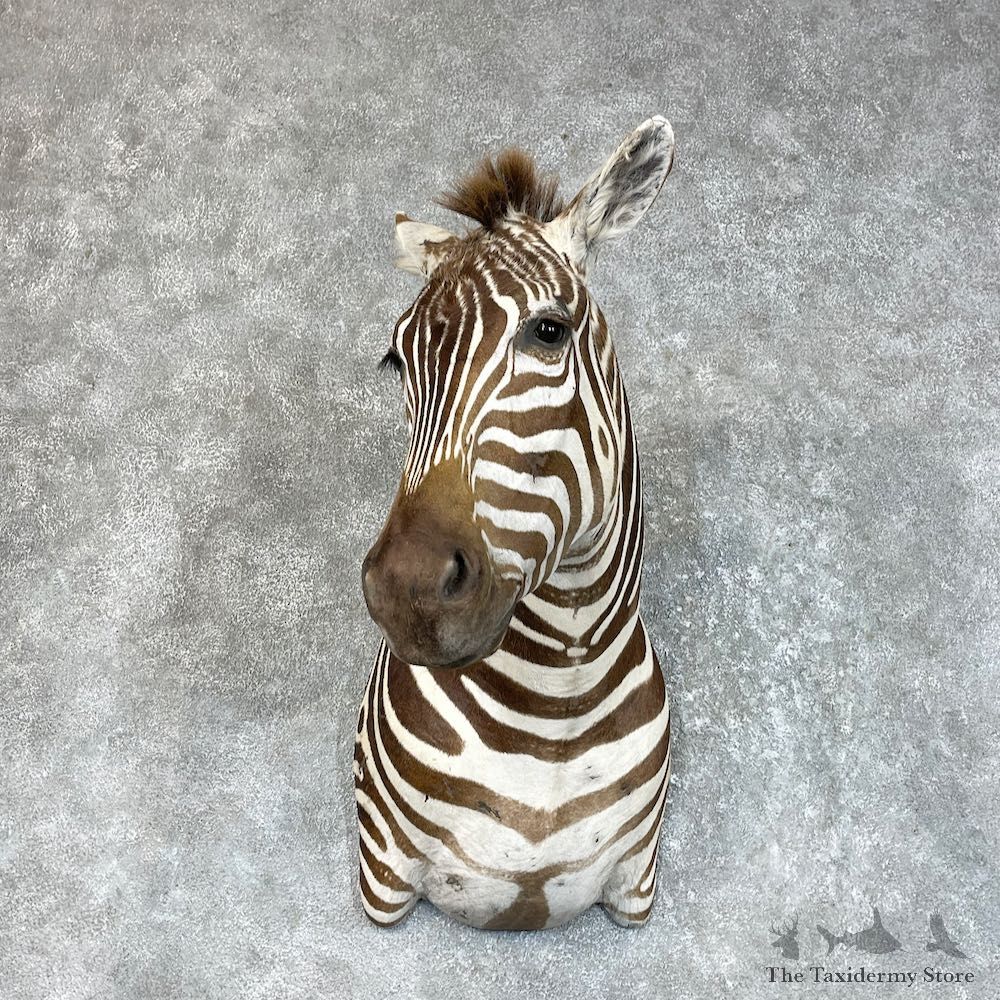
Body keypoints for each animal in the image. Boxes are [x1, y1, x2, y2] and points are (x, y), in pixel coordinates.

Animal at [355, 117, 676, 931]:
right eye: (397, 362)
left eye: (549, 331)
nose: (405, 592)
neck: (555, 709)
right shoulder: (381, 881)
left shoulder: (637, 888)